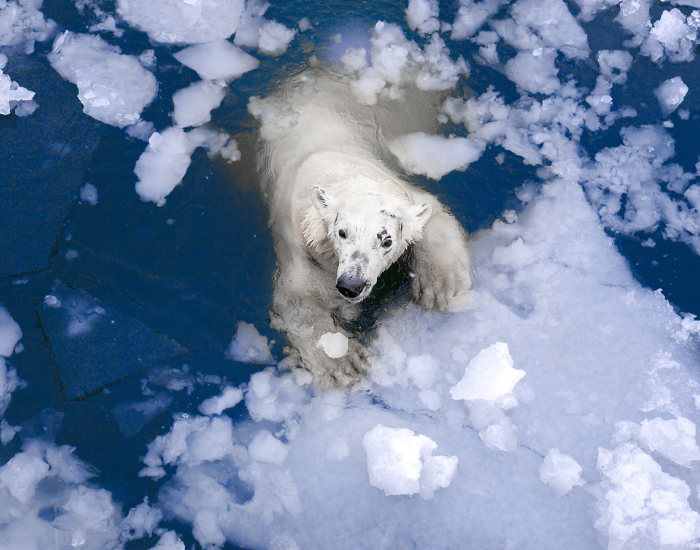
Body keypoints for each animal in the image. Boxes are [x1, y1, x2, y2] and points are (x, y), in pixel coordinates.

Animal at [255, 70, 471, 389]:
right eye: (341, 233)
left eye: (386, 241)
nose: (351, 285)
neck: (335, 170)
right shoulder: (301, 247)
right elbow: (298, 303)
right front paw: (345, 362)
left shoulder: (403, 192)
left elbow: (431, 216)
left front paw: (442, 286)